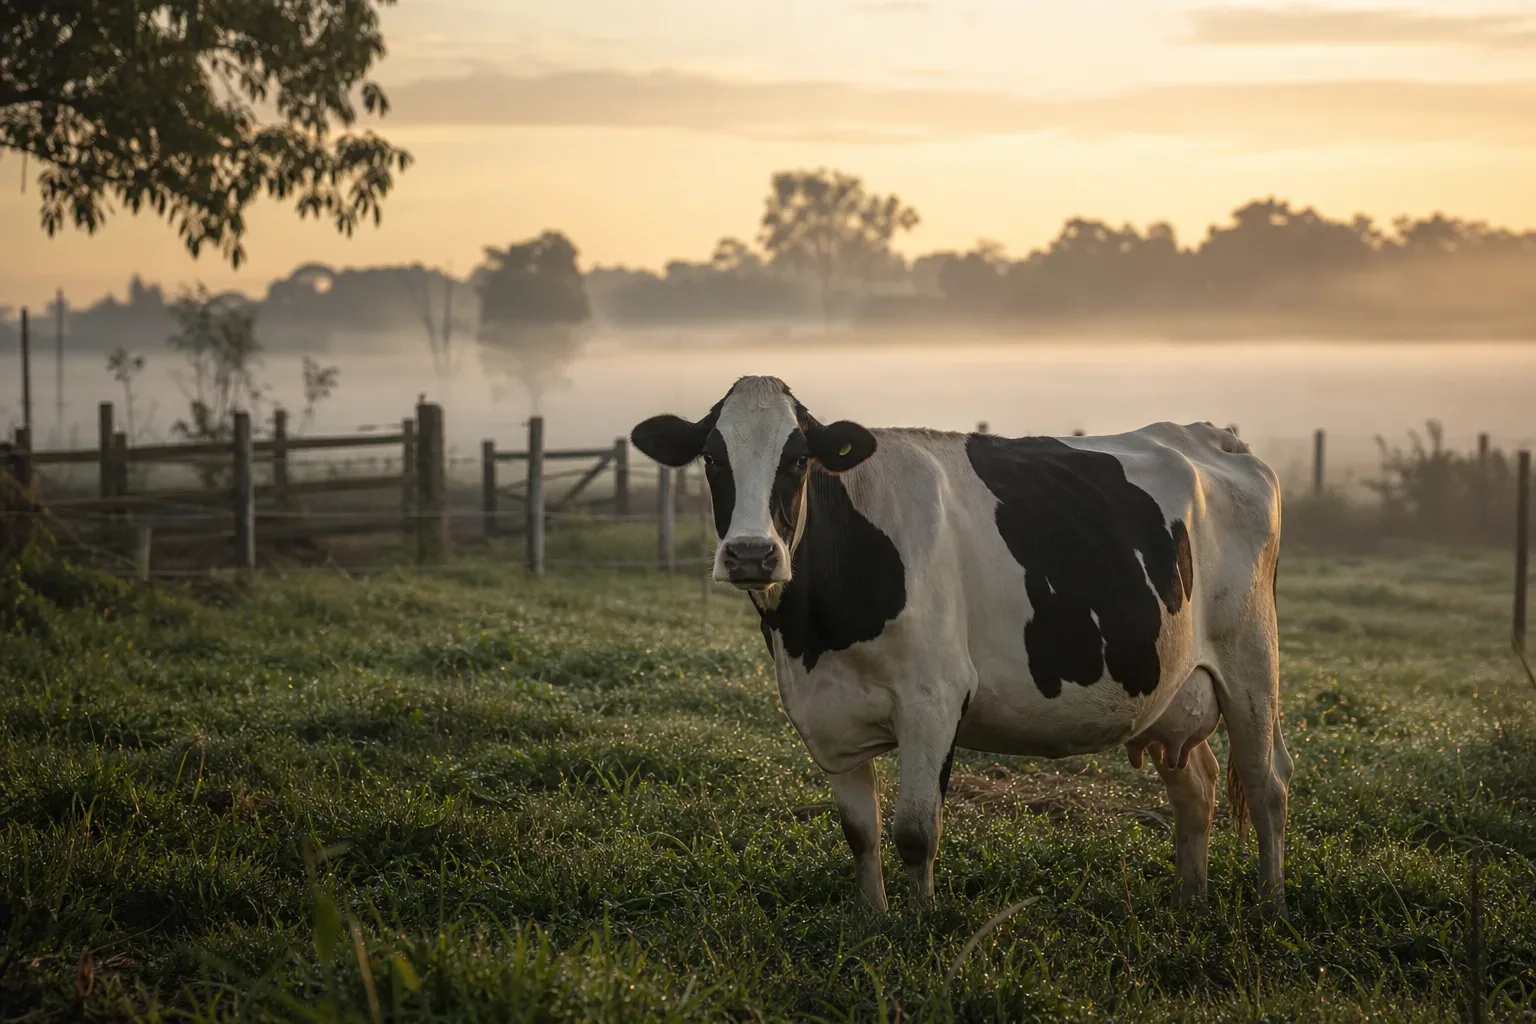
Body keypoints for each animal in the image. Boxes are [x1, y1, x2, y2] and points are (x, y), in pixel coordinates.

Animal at [631, 376, 1290, 914]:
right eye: (712, 457)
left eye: (797, 459)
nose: (751, 554)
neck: (813, 637)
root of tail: (1208, 435)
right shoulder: (829, 714)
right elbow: (861, 833)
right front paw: (873, 920)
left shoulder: (933, 699)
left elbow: (915, 831)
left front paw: (919, 928)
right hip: (1170, 690)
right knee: (1196, 788)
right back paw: (1189, 901)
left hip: (1252, 663)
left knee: (1266, 784)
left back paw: (1269, 906)